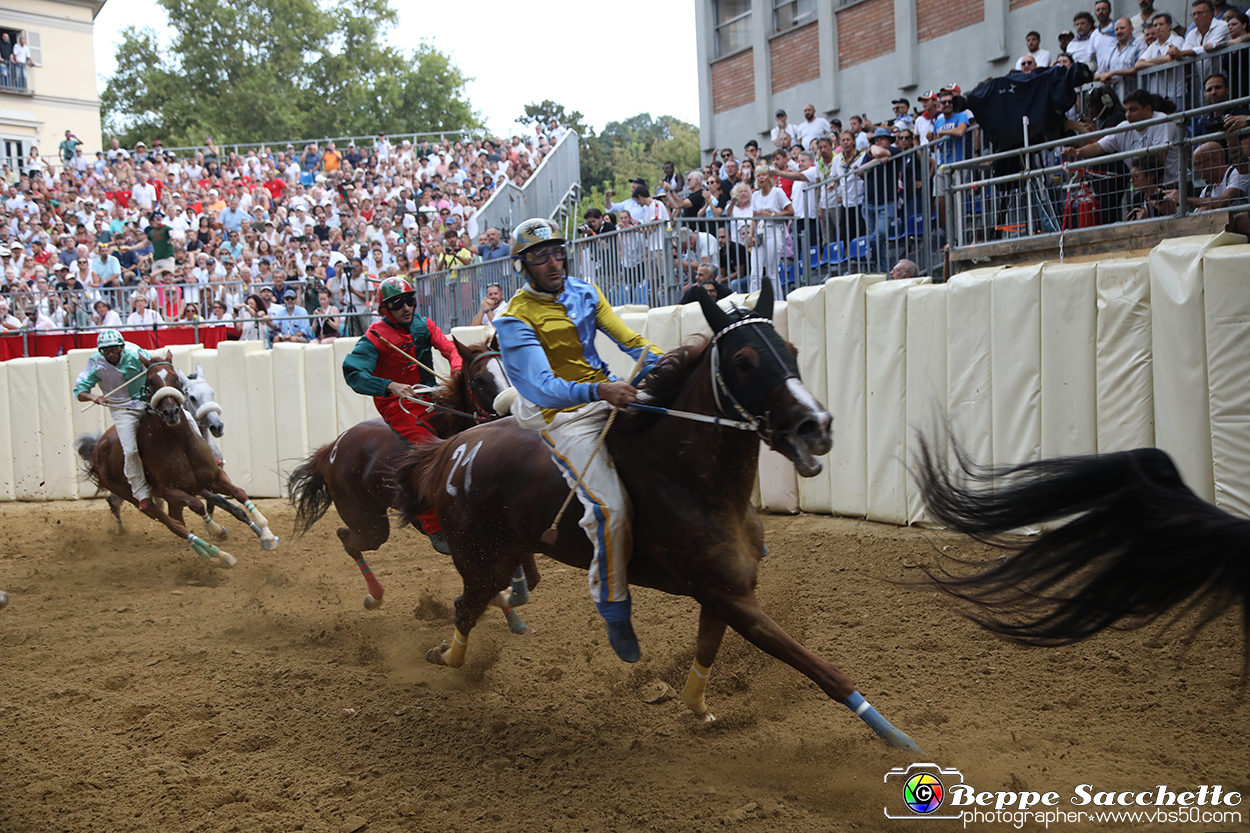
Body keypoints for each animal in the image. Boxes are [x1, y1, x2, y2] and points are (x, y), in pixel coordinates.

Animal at [75, 350, 281, 565]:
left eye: (175, 379)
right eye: (150, 381)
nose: (171, 412)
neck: (178, 442)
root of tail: (98, 446)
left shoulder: (212, 479)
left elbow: (238, 496)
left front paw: (266, 535)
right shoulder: (173, 490)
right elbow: (199, 506)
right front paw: (216, 530)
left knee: (177, 518)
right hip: (136, 496)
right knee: (172, 524)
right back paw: (220, 554)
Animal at [286, 335, 520, 612]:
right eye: (479, 380)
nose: (511, 410)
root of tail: (333, 447)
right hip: (368, 523)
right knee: (347, 538)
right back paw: (374, 596)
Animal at [395, 280, 925, 750]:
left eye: (792, 350)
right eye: (743, 361)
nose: (816, 425)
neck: (689, 477)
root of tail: (453, 449)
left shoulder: (724, 593)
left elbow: (706, 652)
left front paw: (699, 709)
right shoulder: (732, 598)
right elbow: (823, 671)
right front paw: (898, 739)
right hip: (483, 557)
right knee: (466, 606)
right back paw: (447, 654)